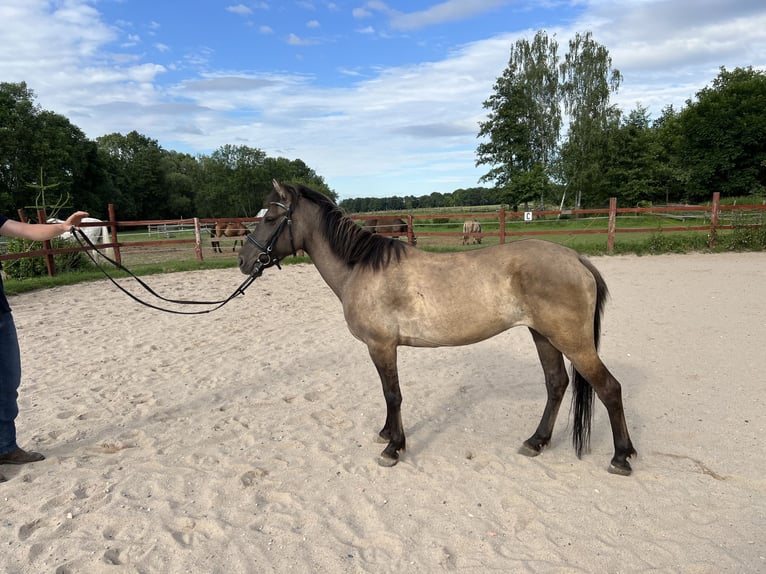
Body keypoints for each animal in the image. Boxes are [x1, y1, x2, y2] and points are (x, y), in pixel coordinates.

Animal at [238, 181, 636, 476]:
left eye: (271, 216)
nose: (244, 260)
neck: (360, 268)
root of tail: (576, 258)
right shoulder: (381, 348)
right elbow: (389, 395)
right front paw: (386, 433)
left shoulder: (381, 346)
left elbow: (393, 395)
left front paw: (393, 448)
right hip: (544, 337)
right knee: (556, 385)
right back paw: (535, 442)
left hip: (573, 342)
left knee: (609, 388)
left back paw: (621, 457)